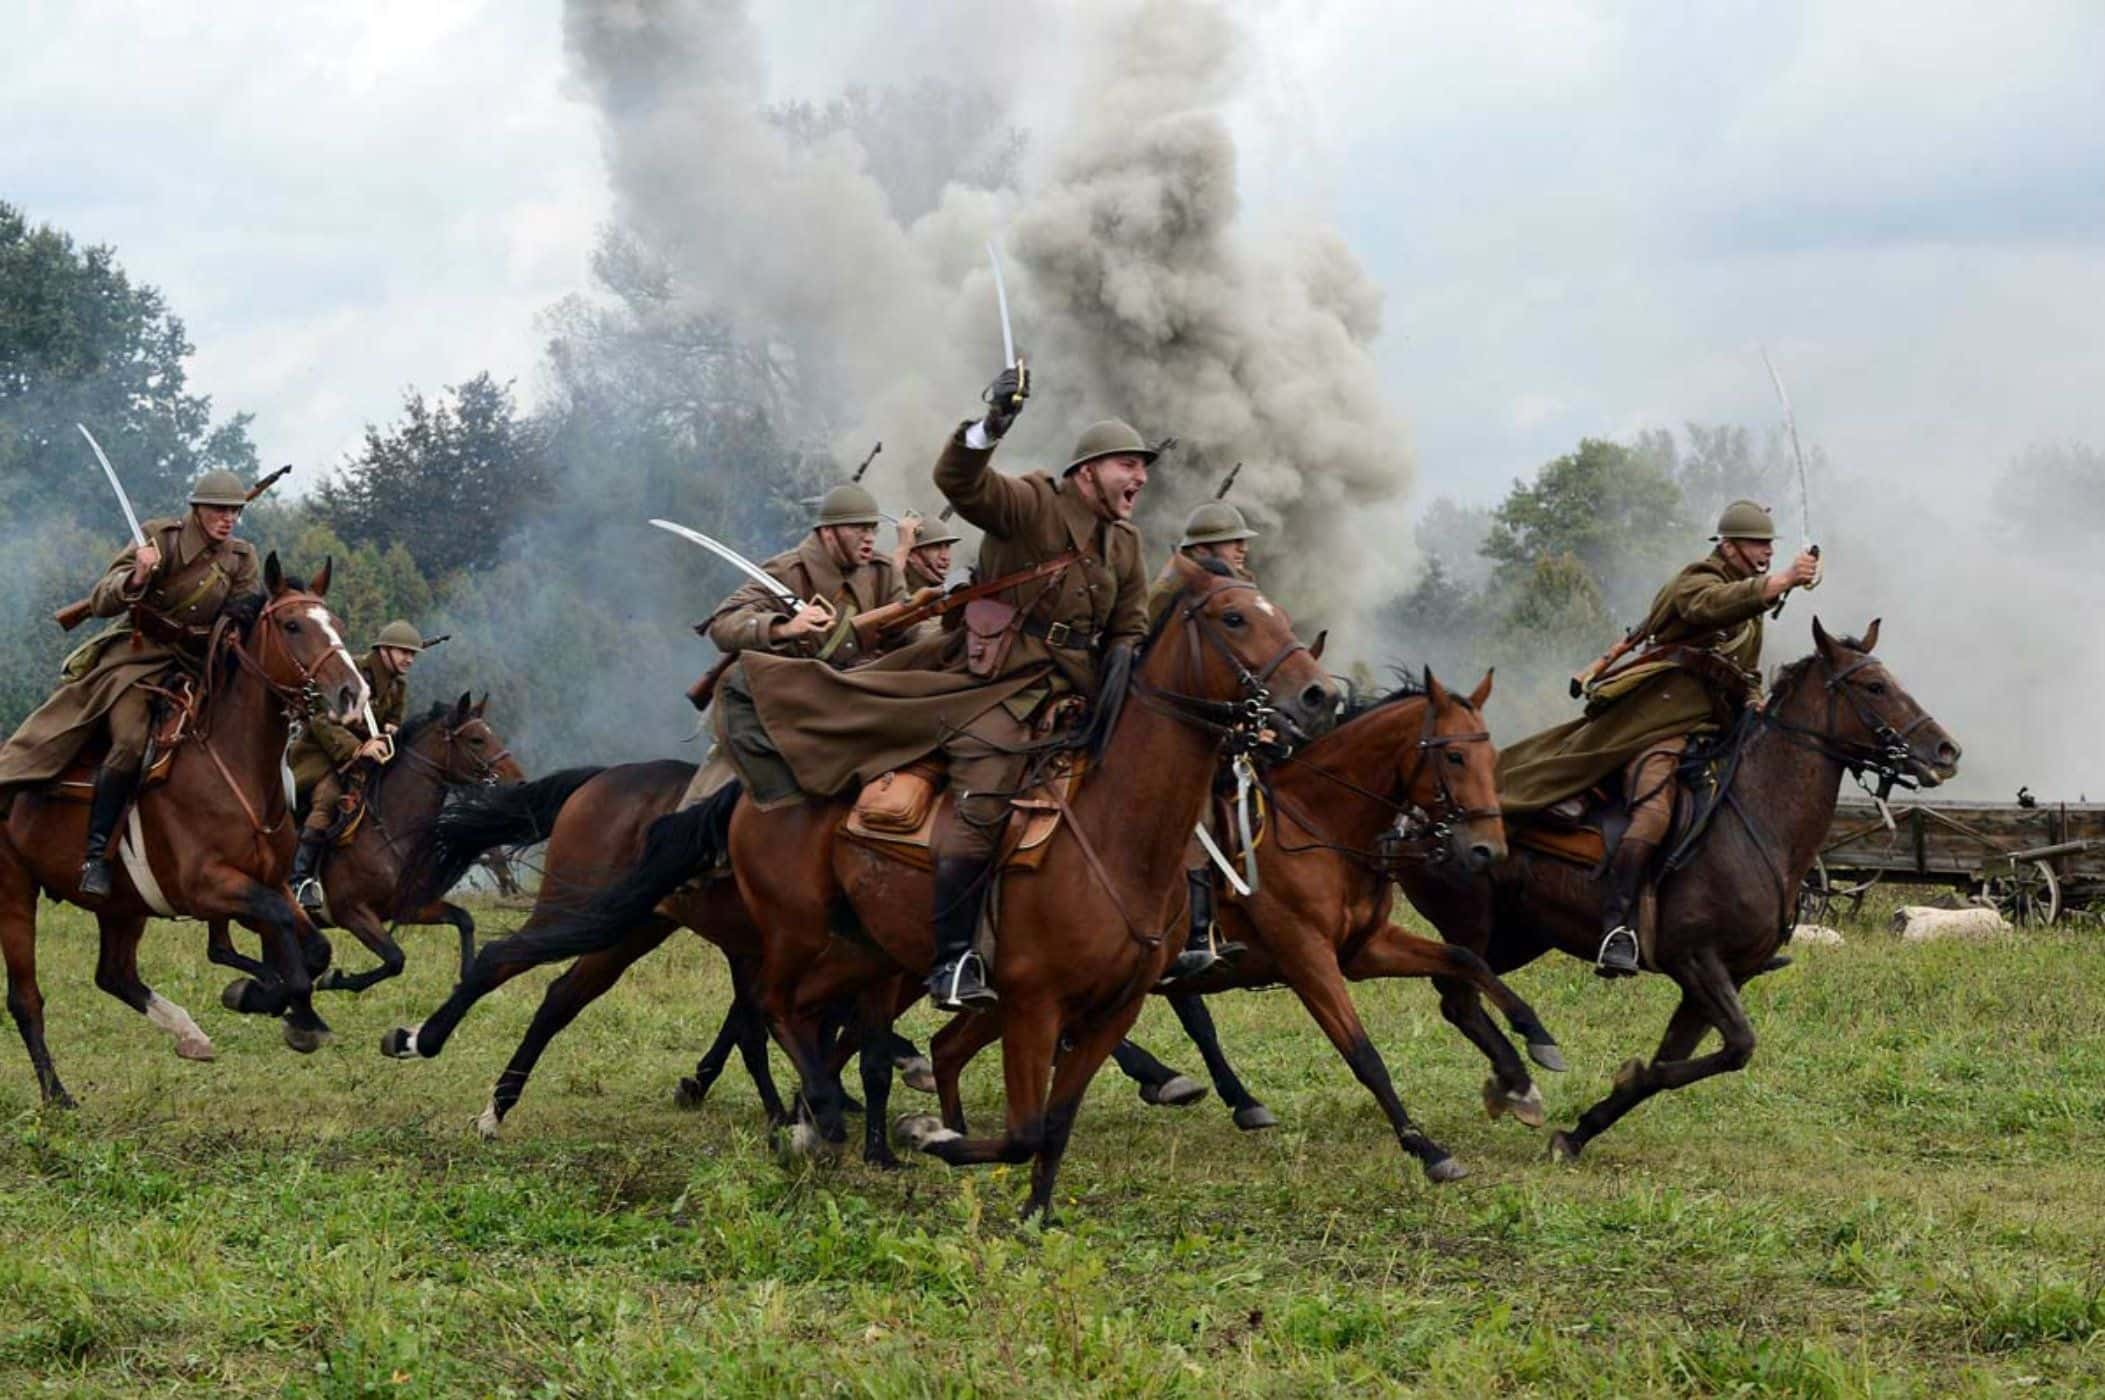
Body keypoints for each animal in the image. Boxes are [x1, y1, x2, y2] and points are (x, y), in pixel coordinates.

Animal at [0, 555, 366, 1103]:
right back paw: (58, 1096)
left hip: (122, 905)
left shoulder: (271, 881)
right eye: (292, 625)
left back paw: (189, 1033)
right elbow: (281, 937)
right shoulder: (208, 887)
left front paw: (275, 1001)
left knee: (115, 975)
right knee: (26, 999)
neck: (234, 766)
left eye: (337, 624)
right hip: (15, 893)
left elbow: (312, 947)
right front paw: (277, 1002)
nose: (353, 694)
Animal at [202, 690, 526, 1006]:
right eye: (476, 739)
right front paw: (334, 980)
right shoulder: (353, 914)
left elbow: (464, 920)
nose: (519, 783)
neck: (388, 829)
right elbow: (395, 959)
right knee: (223, 950)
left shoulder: (410, 906)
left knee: (224, 950)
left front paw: (466, 980)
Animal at [1397, 618, 1953, 1153]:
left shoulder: (1726, 978)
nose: (1946, 751)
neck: (1754, 816)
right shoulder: (1696, 961)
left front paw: (1583, 1128)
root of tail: (1415, 815)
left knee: (1455, 993)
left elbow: (1686, 1060)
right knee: (1457, 996)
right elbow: (1735, 1047)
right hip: (1472, 923)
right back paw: (1515, 1084)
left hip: (1518, 937)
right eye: (1874, 686)